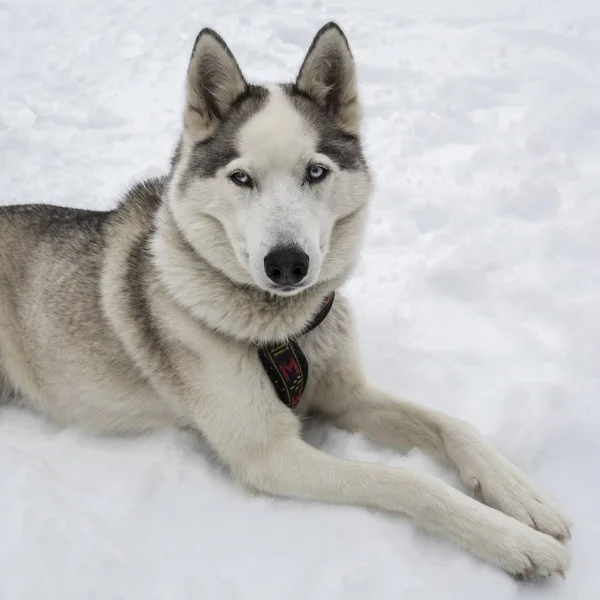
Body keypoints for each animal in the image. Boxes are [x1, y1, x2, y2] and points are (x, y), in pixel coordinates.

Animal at [0, 22, 572, 576]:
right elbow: (414, 484)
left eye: (315, 172)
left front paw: (523, 498)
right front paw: (514, 541)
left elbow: (455, 425)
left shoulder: (345, 393)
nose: (287, 264)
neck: (283, 330)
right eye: (241, 177)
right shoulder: (269, 454)